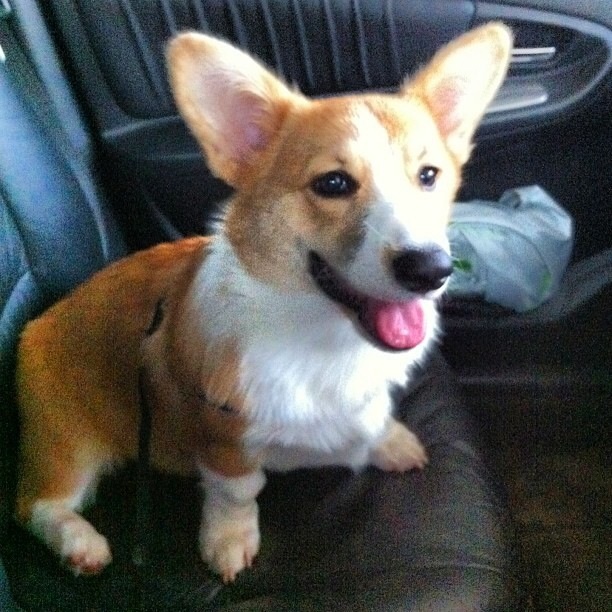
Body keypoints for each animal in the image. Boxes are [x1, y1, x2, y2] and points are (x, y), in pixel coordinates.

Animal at [14, 24, 512, 583]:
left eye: (428, 176)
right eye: (333, 183)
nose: (431, 270)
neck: (321, 337)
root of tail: (39, 322)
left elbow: (372, 419)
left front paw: (390, 442)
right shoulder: (223, 438)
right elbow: (238, 493)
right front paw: (228, 541)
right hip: (67, 442)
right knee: (35, 504)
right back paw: (80, 543)